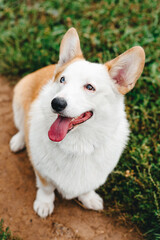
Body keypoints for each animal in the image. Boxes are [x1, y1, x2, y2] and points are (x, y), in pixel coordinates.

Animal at [9, 27, 145, 218]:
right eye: (62, 80)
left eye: (89, 87)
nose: (56, 103)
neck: (78, 144)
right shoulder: (42, 171)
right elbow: (46, 188)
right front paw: (44, 204)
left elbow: (87, 188)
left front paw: (89, 198)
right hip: (20, 98)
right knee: (22, 126)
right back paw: (19, 140)